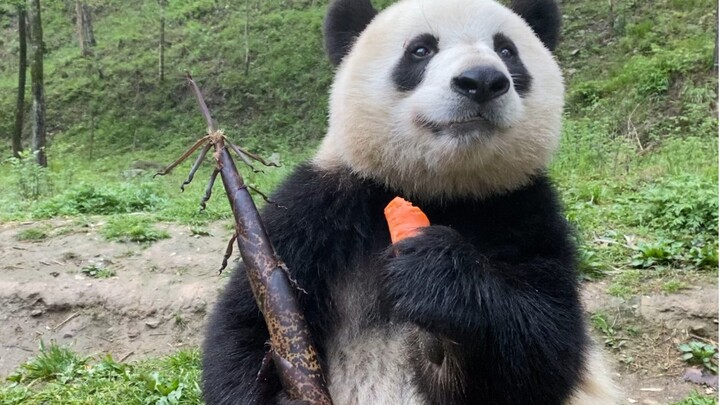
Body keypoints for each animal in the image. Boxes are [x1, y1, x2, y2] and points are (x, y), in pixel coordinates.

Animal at [202, 0, 618, 404]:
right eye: (421, 49)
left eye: (506, 50)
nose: (482, 81)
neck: (439, 191)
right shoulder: (318, 210)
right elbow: (246, 327)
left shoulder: (521, 209)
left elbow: (547, 344)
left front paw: (434, 275)